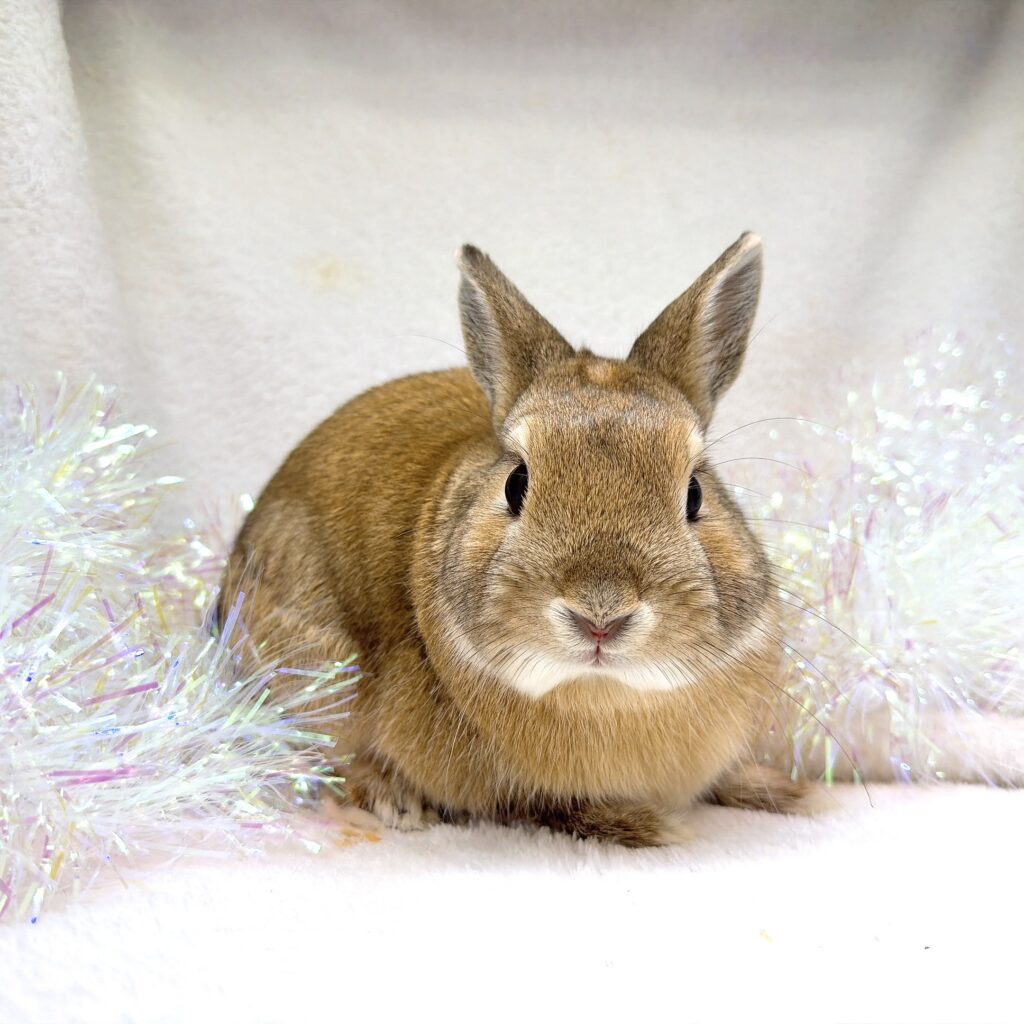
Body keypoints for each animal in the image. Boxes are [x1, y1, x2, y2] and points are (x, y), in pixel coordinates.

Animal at [220, 232, 808, 846]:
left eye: (694, 493)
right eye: (516, 483)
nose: (600, 615)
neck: (602, 694)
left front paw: (780, 791)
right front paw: (646, 826)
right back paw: (393, 802)